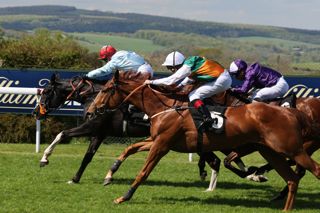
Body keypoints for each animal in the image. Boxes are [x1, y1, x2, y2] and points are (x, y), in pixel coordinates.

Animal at [87, 70, 320, 211]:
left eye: (106, 89)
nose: (90, 111)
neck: (166, 107)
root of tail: (290, 112)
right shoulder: (158, 140)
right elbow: (130, 149)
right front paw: (109, 175)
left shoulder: (162, 145)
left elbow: (143, 172)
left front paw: (124, 197)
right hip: (271, 151)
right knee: (292, 179)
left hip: (293, 149)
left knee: (313, 170)